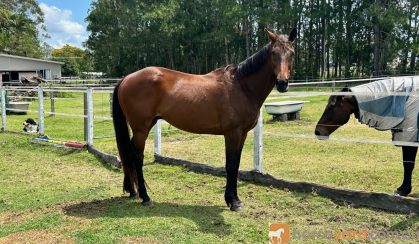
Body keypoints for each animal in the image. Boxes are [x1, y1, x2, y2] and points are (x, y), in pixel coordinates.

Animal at [112, 28, 298, 211]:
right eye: (273, 53)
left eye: (292, 53)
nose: (282, 83)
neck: (242, 87)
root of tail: (126, 78)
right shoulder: (233, 133)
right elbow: (231, 165)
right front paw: (233, 201)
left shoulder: (242, 134)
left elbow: (236, 164)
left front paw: (235, 199)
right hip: (141, 128)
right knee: (137, 157)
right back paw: (145, 197)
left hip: (144, 126)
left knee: (129, 154)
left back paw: (133, 191)